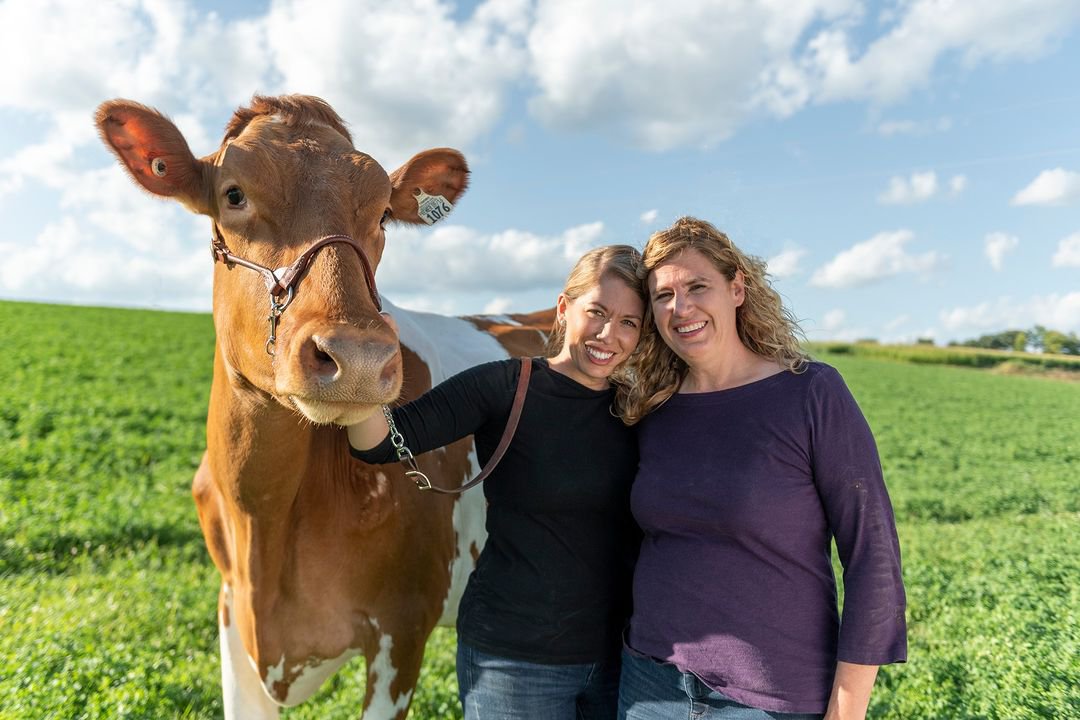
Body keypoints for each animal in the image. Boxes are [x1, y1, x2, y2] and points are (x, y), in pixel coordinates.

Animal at [95, 97, 548, 720]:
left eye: (383, 216)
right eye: (234, 194)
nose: (357, 357)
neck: (264, 518)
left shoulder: (403, 627)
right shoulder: (231, 610)